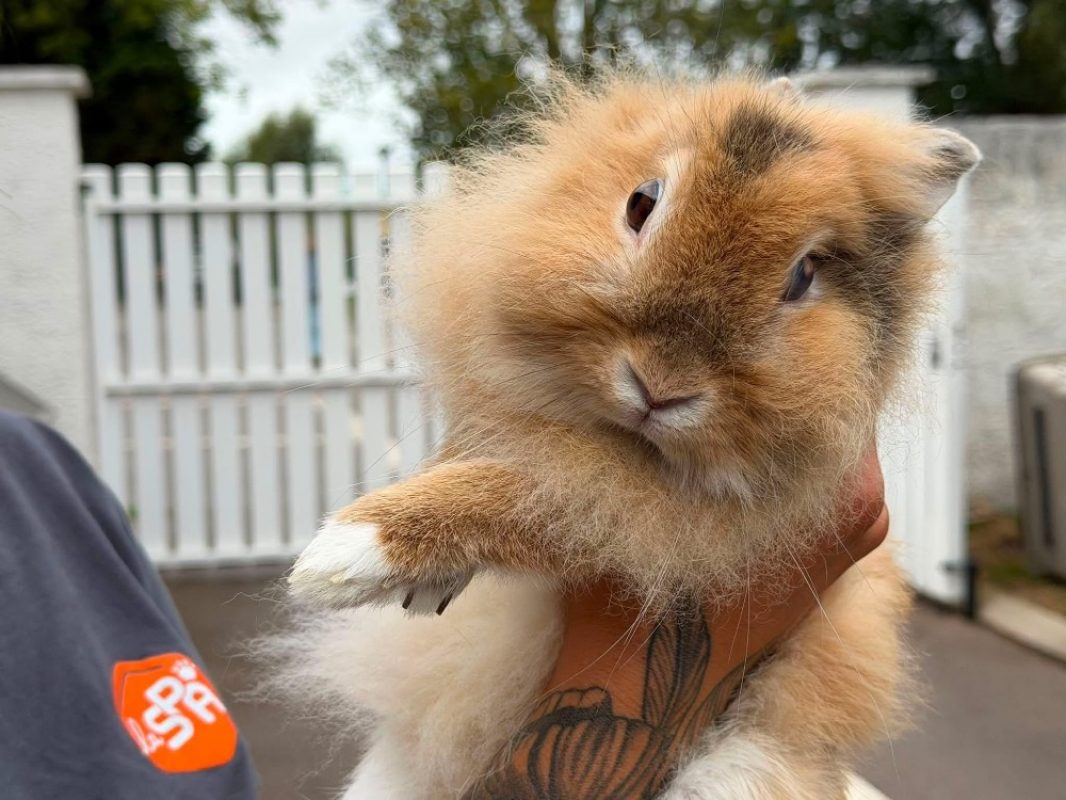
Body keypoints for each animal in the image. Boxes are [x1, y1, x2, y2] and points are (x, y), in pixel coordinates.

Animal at [282, 72, 979, 799]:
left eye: (805, 274)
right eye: (642, 203)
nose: (660, 385)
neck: (629, 442)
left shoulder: (650, 523)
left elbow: (522, 497)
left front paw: (340, 556)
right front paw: (419, 586)